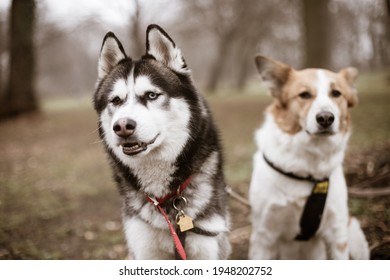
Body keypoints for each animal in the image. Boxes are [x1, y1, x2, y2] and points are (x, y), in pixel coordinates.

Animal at [93, 25, 230, 260]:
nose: (122, 126)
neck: (165, 198)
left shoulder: (207, 245)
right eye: (116, 100)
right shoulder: (144, 248)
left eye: (151, 95)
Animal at [248, 55, 370, 260]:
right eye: (304, 95)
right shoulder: (264, 235)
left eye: (336, 93)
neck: (308, 163)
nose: (326, 118)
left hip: (353, 232)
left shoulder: (337, 233)